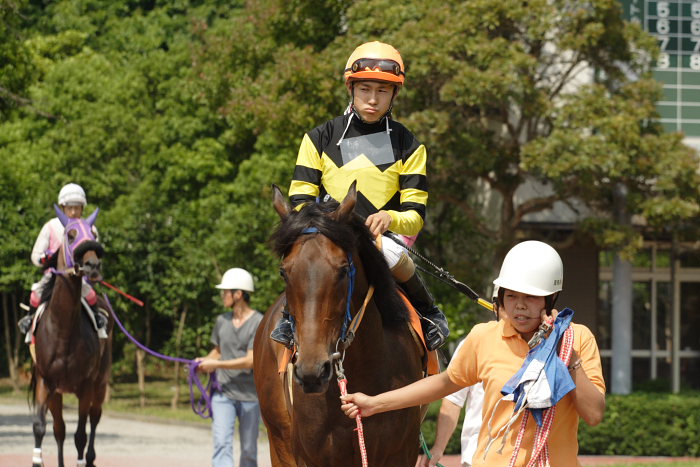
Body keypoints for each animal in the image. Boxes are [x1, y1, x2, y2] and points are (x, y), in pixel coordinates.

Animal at [29, 207, 112, 467]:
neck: (63, 332)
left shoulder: (85, 385)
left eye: (93, 233)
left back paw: (92, 457)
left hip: (100, 382)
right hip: (58, 392)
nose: (93, 265)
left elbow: (81, 435)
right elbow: (42, 427)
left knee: (95, 418)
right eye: (71, 234)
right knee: (59, 429)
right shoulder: (46, 381)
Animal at [254, 185, 424, 466]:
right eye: (283, 272)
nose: (312, 372)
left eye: (344, 270)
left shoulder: (401, 453)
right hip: (279, 441)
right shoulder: (311, 456)